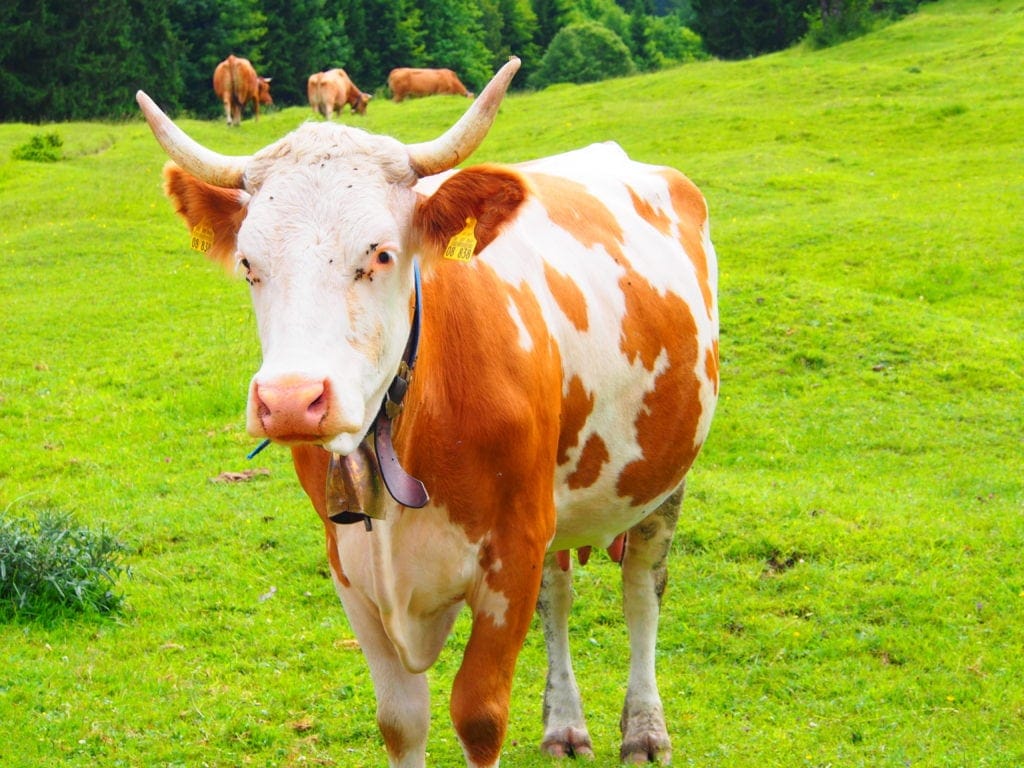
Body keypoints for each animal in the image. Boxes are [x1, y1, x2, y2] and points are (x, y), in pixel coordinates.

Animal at [136, 56, 718, 767]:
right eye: (249, 264)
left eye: (381, 254)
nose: (290, 400)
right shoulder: (351, 566)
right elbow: (401, 719)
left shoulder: (512, 550)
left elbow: (479, 715)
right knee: (559, 595)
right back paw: (564, 724)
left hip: (663, 476)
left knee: (641, 589)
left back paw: (643, 728)